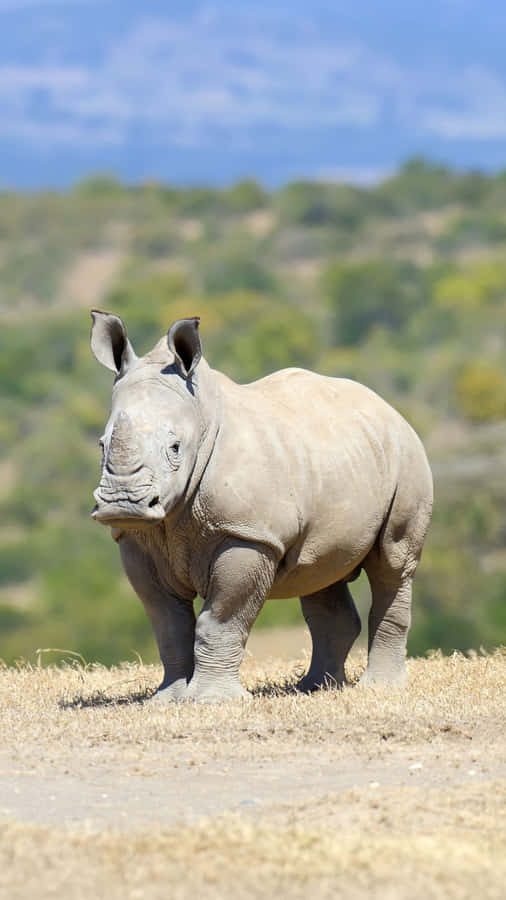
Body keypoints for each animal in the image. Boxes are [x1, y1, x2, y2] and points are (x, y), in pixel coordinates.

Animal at [90, 311, 433, 702]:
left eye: (175, 447)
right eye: (102, 445)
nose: (123, 504)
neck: (201, 415)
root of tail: (390, 409)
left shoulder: (247, 534)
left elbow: (220, 619)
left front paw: (212, 701)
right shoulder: (137, 539)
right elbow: (169, 624)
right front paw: (167, 700)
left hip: (406, 456)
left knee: (392, 563)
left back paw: (379, 687)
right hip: (337, 453)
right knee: (319, 572)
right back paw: (315, 688)